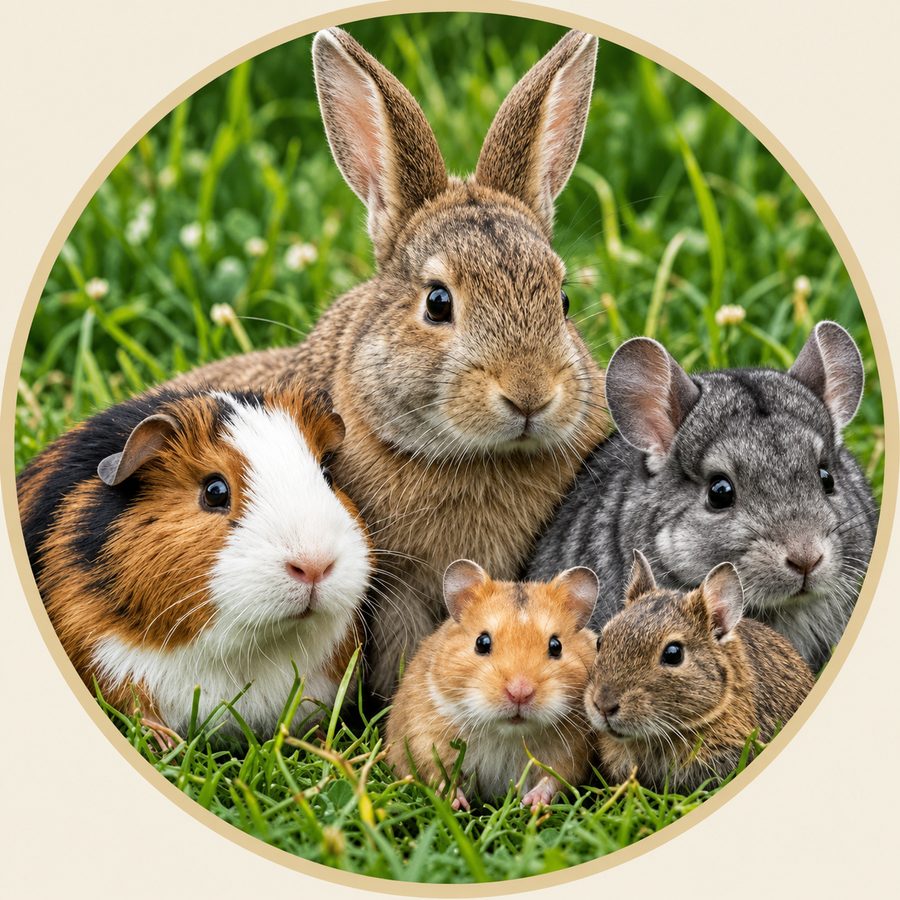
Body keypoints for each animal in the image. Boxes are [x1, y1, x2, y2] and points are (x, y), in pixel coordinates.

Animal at [385, 560, 598, 810]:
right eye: (482, 642)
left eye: (556, 646)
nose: (519, 693)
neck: (506, 734)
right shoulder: (424, 738)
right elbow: (437, 774)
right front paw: (457, 804)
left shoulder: (571, 754)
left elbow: (554, 779)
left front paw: (532, 804)